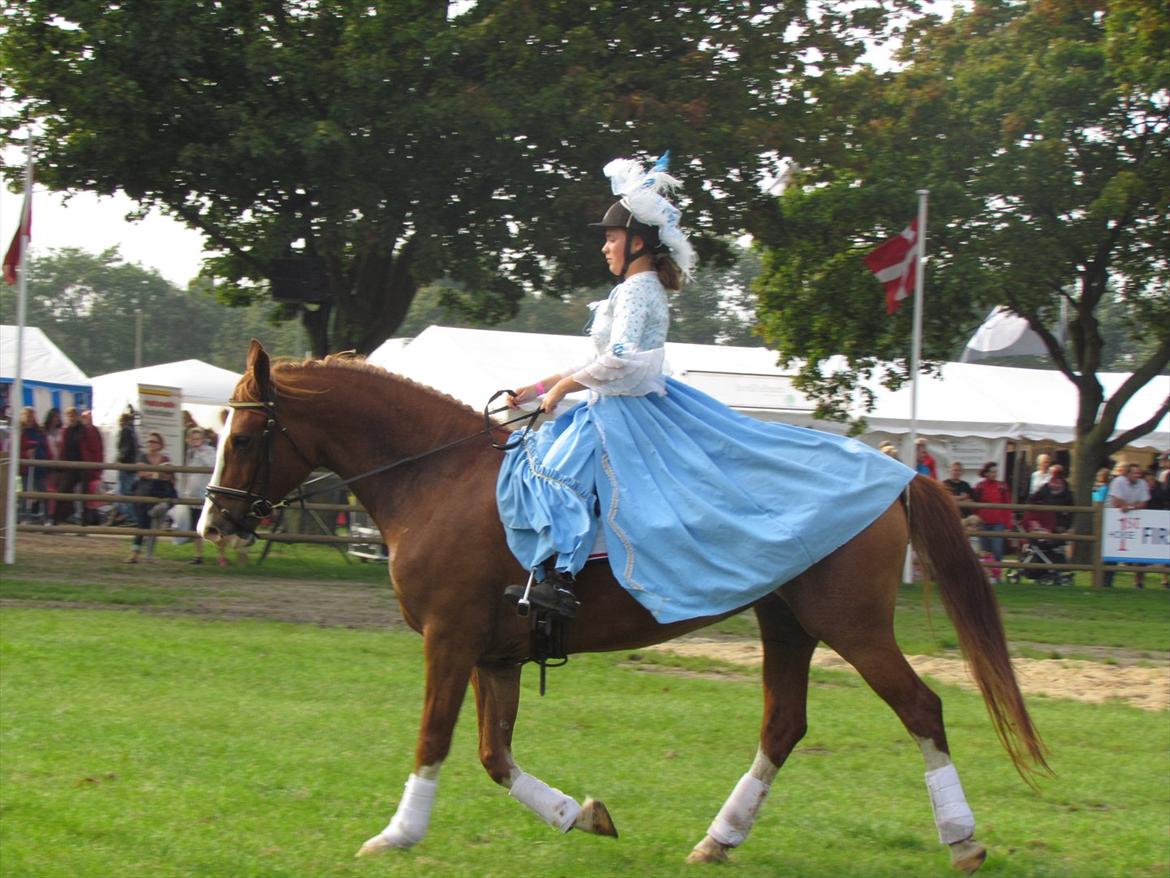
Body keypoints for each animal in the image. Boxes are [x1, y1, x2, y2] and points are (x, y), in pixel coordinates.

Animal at [196, 341, 1048, 875]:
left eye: (246, 433)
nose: (213, 520)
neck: (437, 478)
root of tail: (897, 474)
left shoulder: (450, 638)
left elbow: (435, 738)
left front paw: (398, 833)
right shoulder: (496, 654)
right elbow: (494, 756)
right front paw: (583, 816)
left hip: (853, 627)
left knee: (922, 709)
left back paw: (963, 841)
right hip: (789, 623)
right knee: (783, 725)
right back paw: (718, 840)